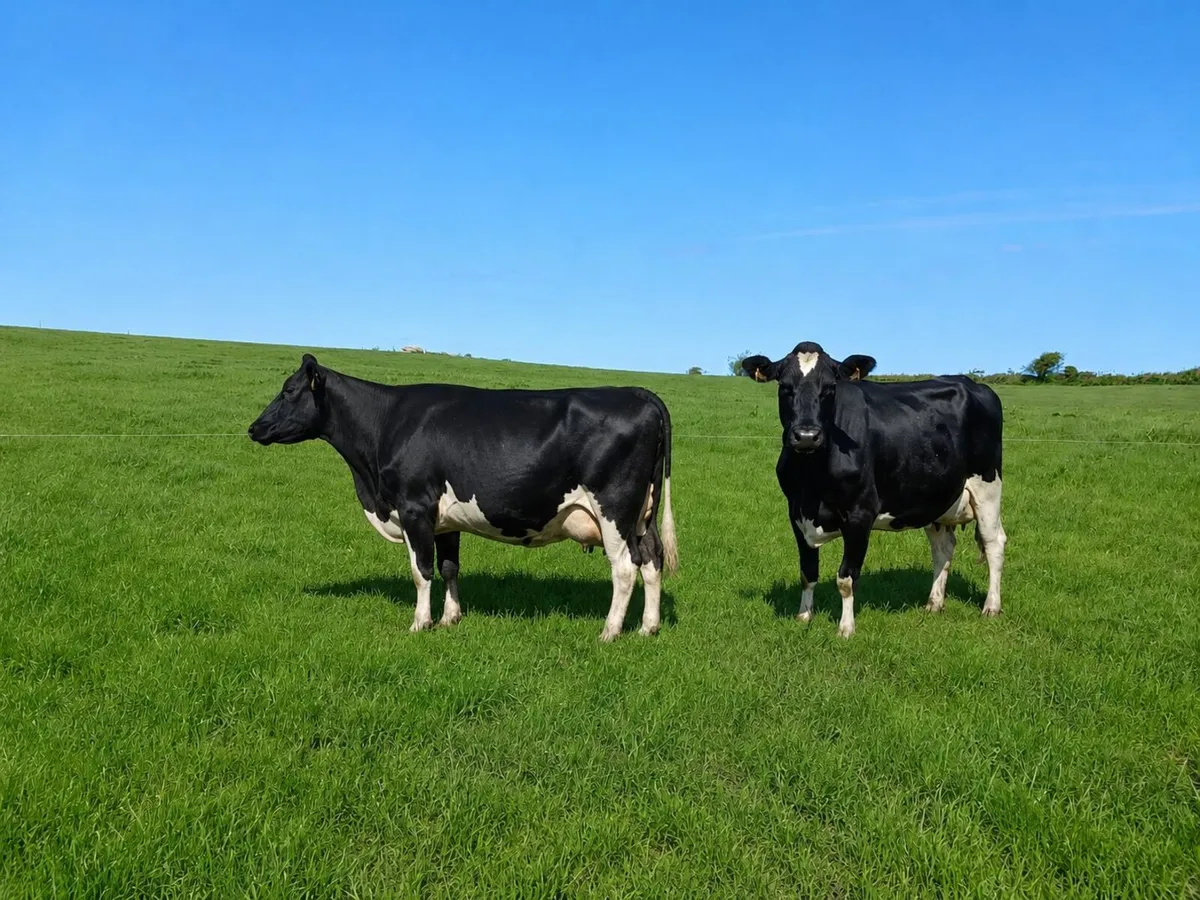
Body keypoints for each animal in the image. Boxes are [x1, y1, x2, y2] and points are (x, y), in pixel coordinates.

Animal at [247, 355, 678, 641]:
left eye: (288, 391)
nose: (254, 427)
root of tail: (638, 393)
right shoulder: (445, 519)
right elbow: (449, 567)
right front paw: (450, 618)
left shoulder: (414, 507)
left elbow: (421, 570)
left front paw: (420, 623)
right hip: (643, 515)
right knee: (652, 560)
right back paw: (648, 627)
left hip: (615, 509)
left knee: (625, 568)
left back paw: (610, 632)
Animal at [741, 342, 1006, 637]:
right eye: (785, 386)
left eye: (830, 387)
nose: (807, 436)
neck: (811, 483)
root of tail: (972, 383)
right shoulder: (796, 511)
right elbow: (807, 572)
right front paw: (804, 616)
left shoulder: (860, 513)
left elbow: (846, 577)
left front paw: (846, 628)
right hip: (936, 498)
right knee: (943, 548)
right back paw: (934, 603)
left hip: (988, 487)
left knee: (994, 542)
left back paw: (991, 607)